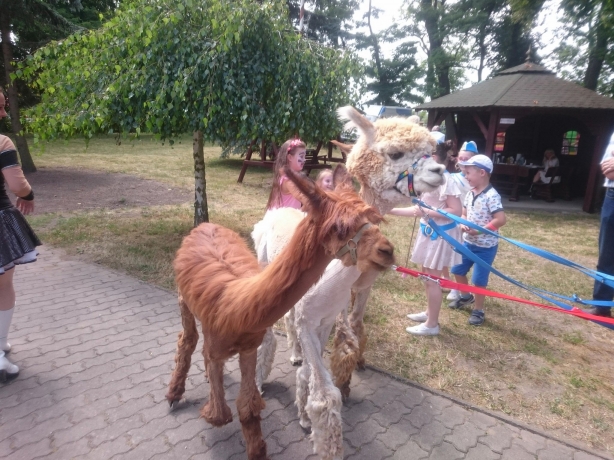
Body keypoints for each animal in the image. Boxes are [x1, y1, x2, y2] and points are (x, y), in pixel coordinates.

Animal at [166, 165, 395, 460]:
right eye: (339, 227)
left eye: (374, 218)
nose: (387, 251)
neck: (236, 303)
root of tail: (205, 225)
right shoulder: (298, 323)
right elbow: (223, 411)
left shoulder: (316, 324)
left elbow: (253, 403)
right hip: (193, 294)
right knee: (188, 339)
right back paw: (175, 393)